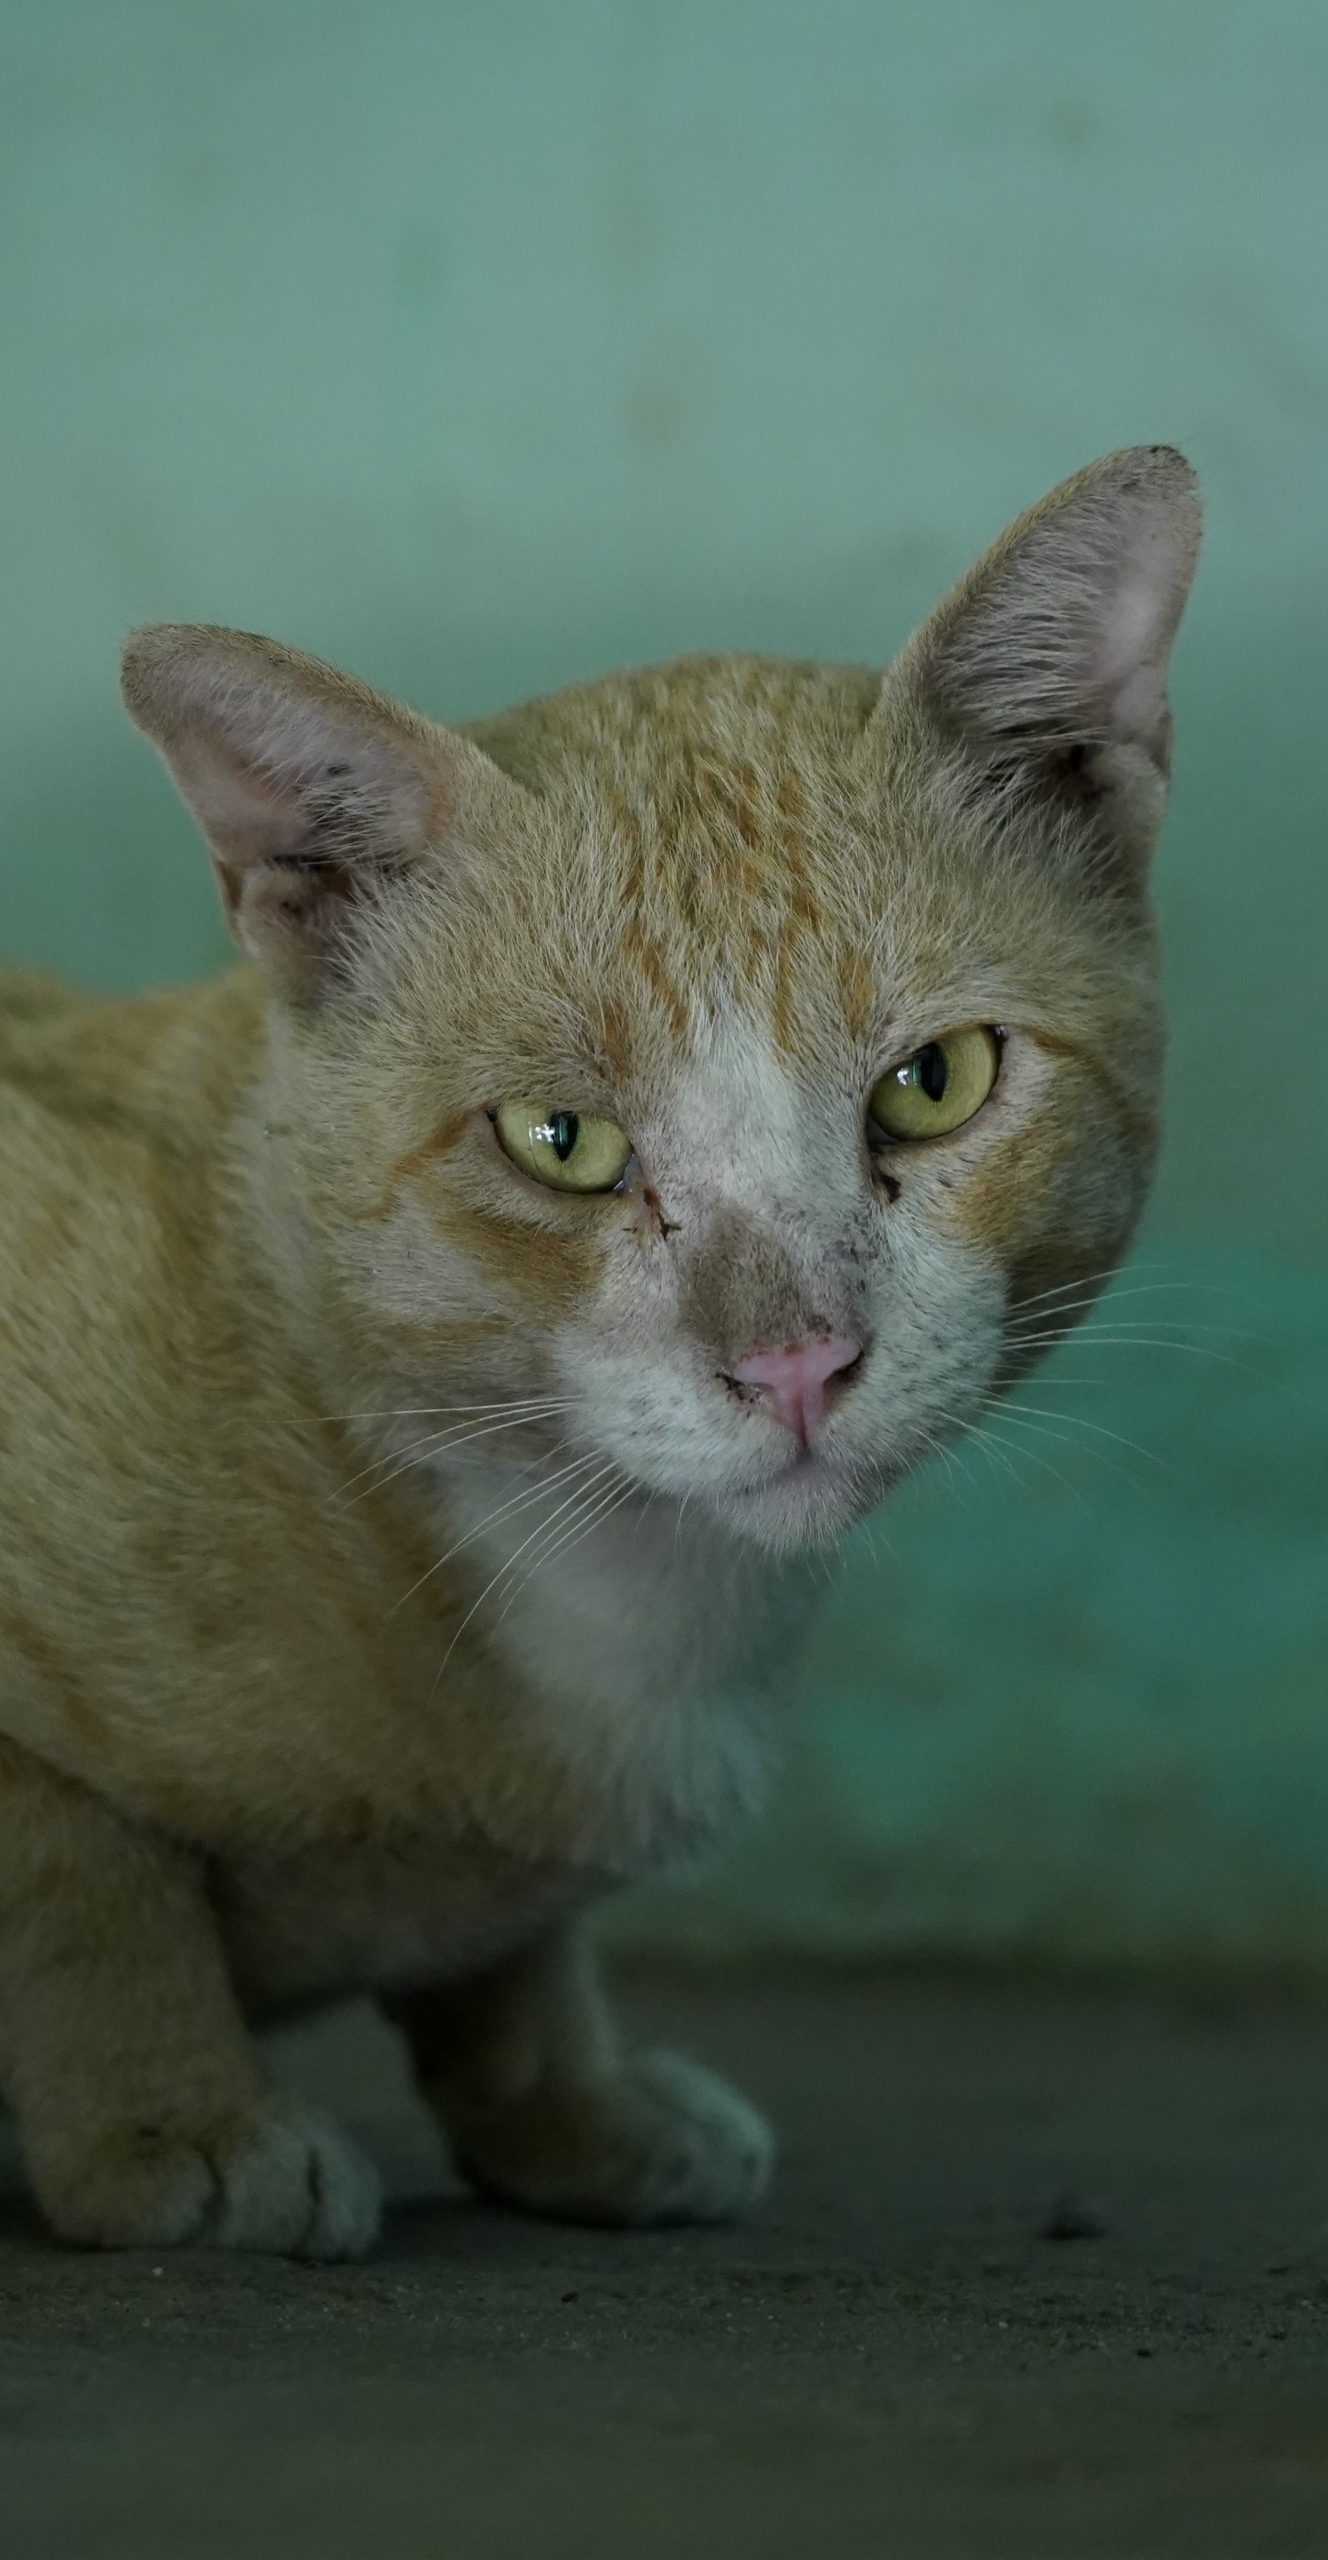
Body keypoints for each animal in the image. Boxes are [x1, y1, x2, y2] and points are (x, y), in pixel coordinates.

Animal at [0, 445, 1207, 2263]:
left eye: (933, 1083)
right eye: (559, 1140)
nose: (795, 1361)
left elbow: (516, 1949)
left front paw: (569, 2103)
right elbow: (80, 1879)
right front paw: (173, 2123)